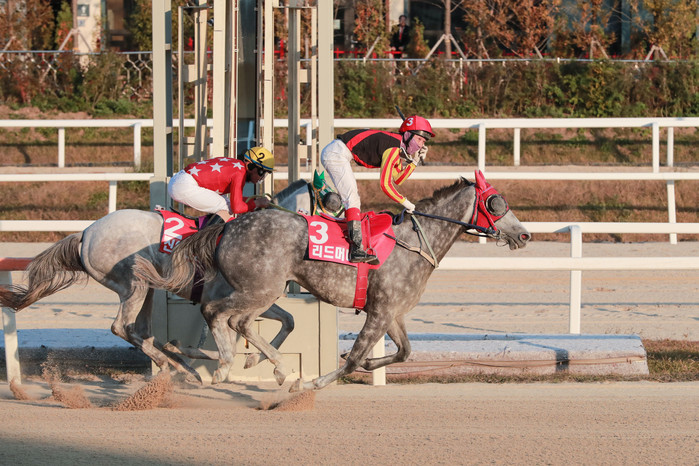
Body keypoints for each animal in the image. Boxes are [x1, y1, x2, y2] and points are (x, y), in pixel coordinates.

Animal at [0, 177, 341, 383]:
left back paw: (180, 367)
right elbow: (225, 334)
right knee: (121, 327)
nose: (347, 239)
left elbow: (288, 320)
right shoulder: (232, 297)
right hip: (133, 284)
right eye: (329, 207)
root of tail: (86, 233)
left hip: (147, 287)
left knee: (140, 331)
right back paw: (176, 366)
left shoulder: (253, 296)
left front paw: (253, 361)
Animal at [132, 172, 531, 390]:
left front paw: (368, 365)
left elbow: (403, 352)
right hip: (260, 288)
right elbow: (353, 359)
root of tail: (228, 225)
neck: (415, 243)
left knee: (233, 319)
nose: (524, 234)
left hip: (256, 289)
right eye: (497, 203)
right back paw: (231, 366)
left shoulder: (392, 312)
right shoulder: (380, 312)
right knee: (220, 314)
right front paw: (309, 382)